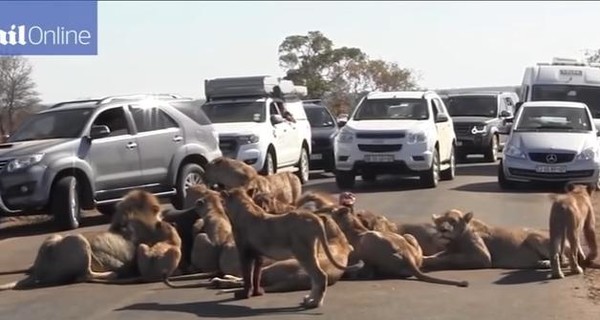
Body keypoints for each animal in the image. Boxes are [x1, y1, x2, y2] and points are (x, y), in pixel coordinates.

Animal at [216, 186, 364, 308]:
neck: (246, 206)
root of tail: (316, 218)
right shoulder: (258, 255)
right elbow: (255, 275)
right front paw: (256, 292)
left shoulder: (244, 252)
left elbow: (247, 275)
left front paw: (244, 294)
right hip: (311, 254)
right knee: (315, 279)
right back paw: (308, 299)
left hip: (303, 254)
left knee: (320, 277)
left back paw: (314, 303)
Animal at [328, 208, 468, 288]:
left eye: (332, 212)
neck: (353, 226)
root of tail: (406, 255)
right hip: (408, 236)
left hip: (369, 239)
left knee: (369, 272)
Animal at [422, 210, 552, 270]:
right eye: (439, 222)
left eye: (453, 221)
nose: (443, 229)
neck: (456, 241)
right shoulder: (449, 249)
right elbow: (437, 255)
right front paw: (424, 257)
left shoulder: (483, 257)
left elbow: (451, 258)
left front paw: (426, 261)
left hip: (533, 235)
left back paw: (545, 263)